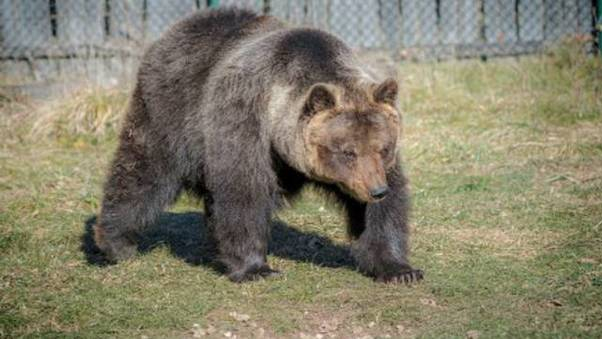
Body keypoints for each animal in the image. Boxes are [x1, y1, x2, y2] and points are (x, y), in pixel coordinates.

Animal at [94, 7, 422, 284]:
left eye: (383, 148)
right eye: (347, 151)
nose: (375, 190)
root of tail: (176, 29)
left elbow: (383, 211)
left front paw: (399, 269)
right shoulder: (243, 116)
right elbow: (243, 188)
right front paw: (255, 268)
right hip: (170, 107)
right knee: (143, 171)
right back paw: (116, 243)